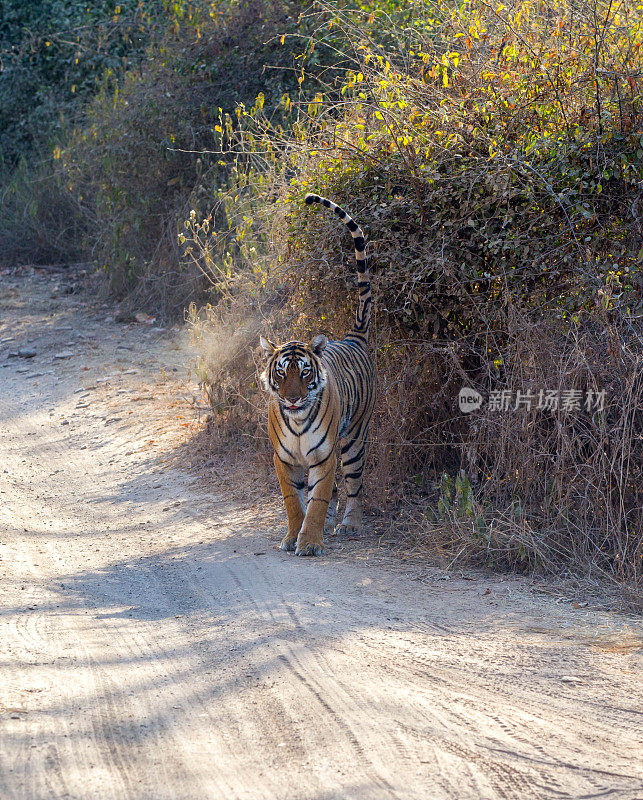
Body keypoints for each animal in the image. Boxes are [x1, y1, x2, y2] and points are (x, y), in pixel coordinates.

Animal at [260, 194, 374, 556]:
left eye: (305, 372)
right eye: (281, 374)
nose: (294, 399)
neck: (297, 421)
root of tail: (353, 337)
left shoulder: (325, 457)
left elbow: (320, 498)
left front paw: (309, 541)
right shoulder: (283, 459)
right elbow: (294, 502)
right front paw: (292, 536)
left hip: (354, 438)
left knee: (353, 485)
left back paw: (350, 524)